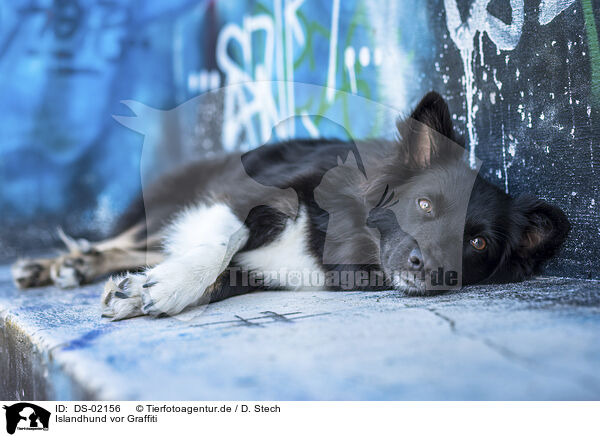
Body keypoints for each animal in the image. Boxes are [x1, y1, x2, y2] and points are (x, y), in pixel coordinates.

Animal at [11, 91, 568, 320]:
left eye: (477, 242)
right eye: (425, 204)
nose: (427, 266)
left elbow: (222, 278)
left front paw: (144, 291)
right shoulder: (249, 194)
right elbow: (221, 241)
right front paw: (167, 287)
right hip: (171, 201)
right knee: (129, 238)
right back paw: (58, 263)